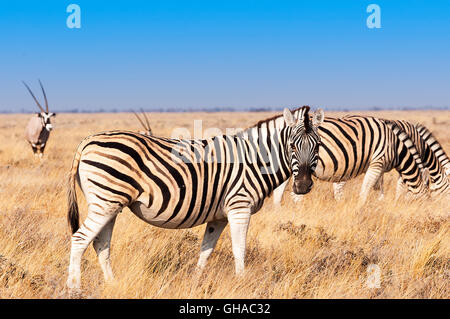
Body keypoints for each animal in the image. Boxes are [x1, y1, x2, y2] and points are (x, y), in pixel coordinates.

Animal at [66, 106, 324, 292]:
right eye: (291, 145)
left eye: (318, 146)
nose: (302, 186)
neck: (256, 160)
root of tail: (86, 141)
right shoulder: (239, 206)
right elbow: (239, 248)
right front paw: (242, 282)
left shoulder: (219, 217)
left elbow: (206, 250)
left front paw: (196, 282)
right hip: (105, 201)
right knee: (79, 239)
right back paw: (74, 288)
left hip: (110, 205)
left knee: (100, 244)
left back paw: (113, 284)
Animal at [270, 112, 432, 208]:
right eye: (425, 201)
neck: (396, 147)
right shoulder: (377, 163)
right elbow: (365, 192)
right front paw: (360, 212)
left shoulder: (377, 168)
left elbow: (378, 189)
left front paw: (380, 203)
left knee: (279, 192)